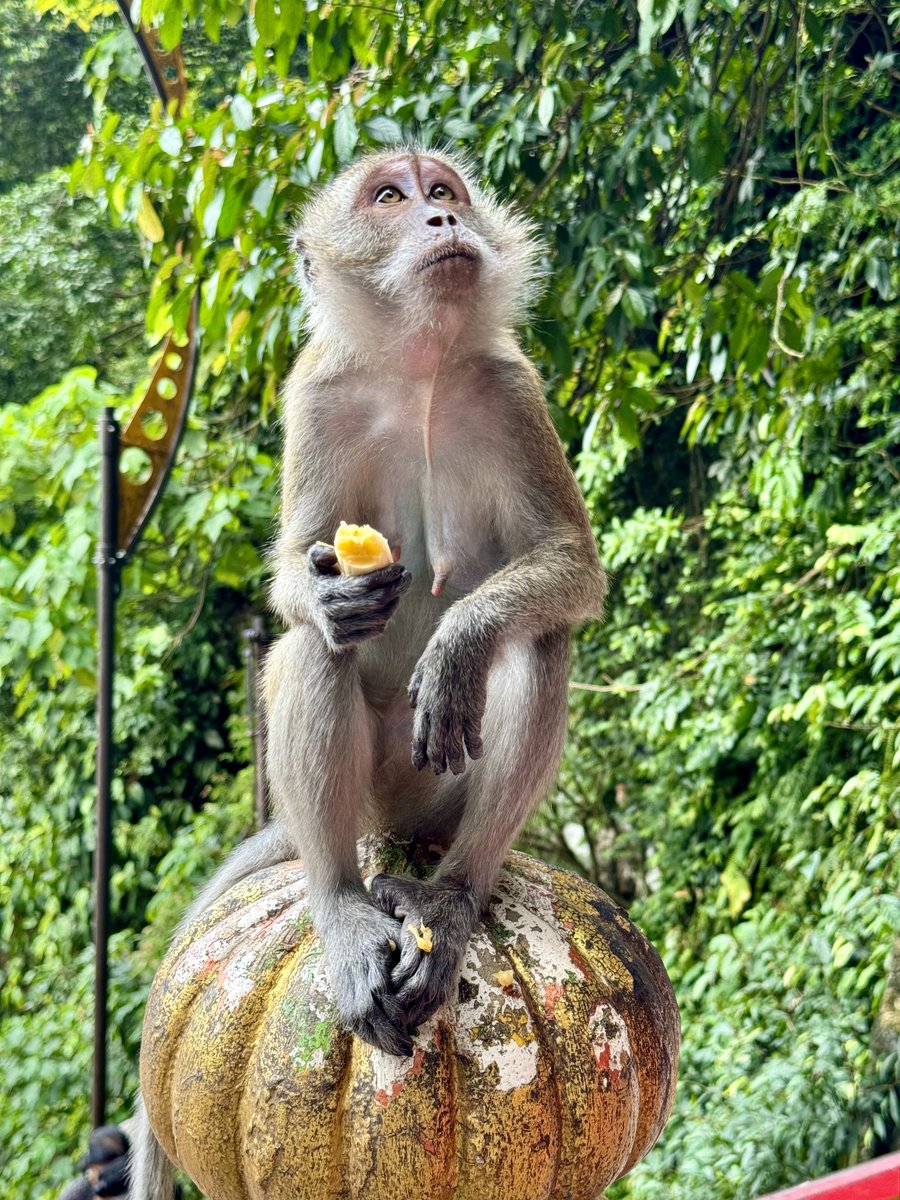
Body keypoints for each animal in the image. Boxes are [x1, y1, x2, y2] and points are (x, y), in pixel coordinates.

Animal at [131, 147, 606, 1198]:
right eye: (390, 197)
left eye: (445, 192)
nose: (440, 220)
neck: (420, 368)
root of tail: (393, 829)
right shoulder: (314, 394)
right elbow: (297, 573)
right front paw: (325, 594)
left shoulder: (515, 389)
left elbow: (568, 567)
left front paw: (462, 636)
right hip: (375, 792)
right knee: (320, 651)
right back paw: (343, 904)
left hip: (437, 794)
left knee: (539, 641)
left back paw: (452, 895)